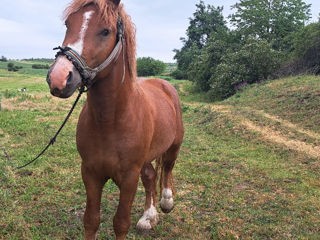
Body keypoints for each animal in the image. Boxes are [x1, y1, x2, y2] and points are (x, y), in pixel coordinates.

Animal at [46, 0, 184, 239]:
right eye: (67, 24)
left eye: (105, 31)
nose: (59, 78)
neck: (110, 121)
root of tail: (164, 84)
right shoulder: (90, 173)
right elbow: (91, 220)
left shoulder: (128, 178)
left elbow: (120, 223)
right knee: (150, 176)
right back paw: (148, 217)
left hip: (174, 145)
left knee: (167, 168)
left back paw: (166, 202)